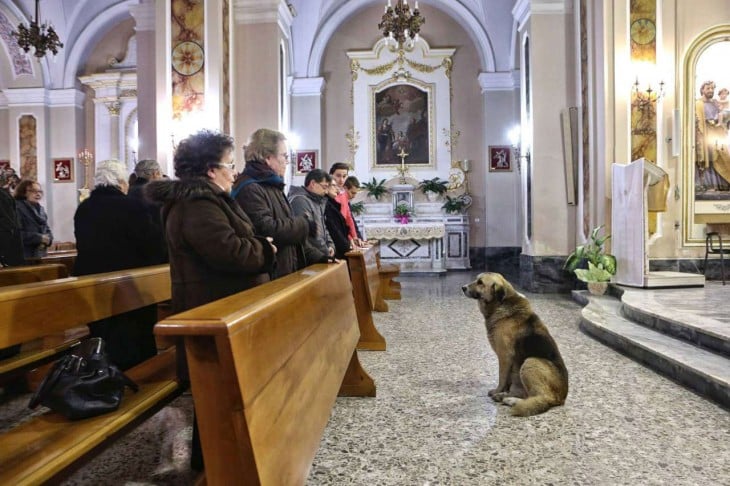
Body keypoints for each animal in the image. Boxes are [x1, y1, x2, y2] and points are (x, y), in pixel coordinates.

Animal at [460, 272, 568, 416]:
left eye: (480, 282)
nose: (463, 287)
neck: (501, 304)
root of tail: (562, 398)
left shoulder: (504, 356)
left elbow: (501, 377)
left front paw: (497, 390)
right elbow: (507, 381)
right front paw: (503, 392)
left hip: (530, 362)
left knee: (542, 398)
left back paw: (511, 400)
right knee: (528, 395)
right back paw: (508, 398)